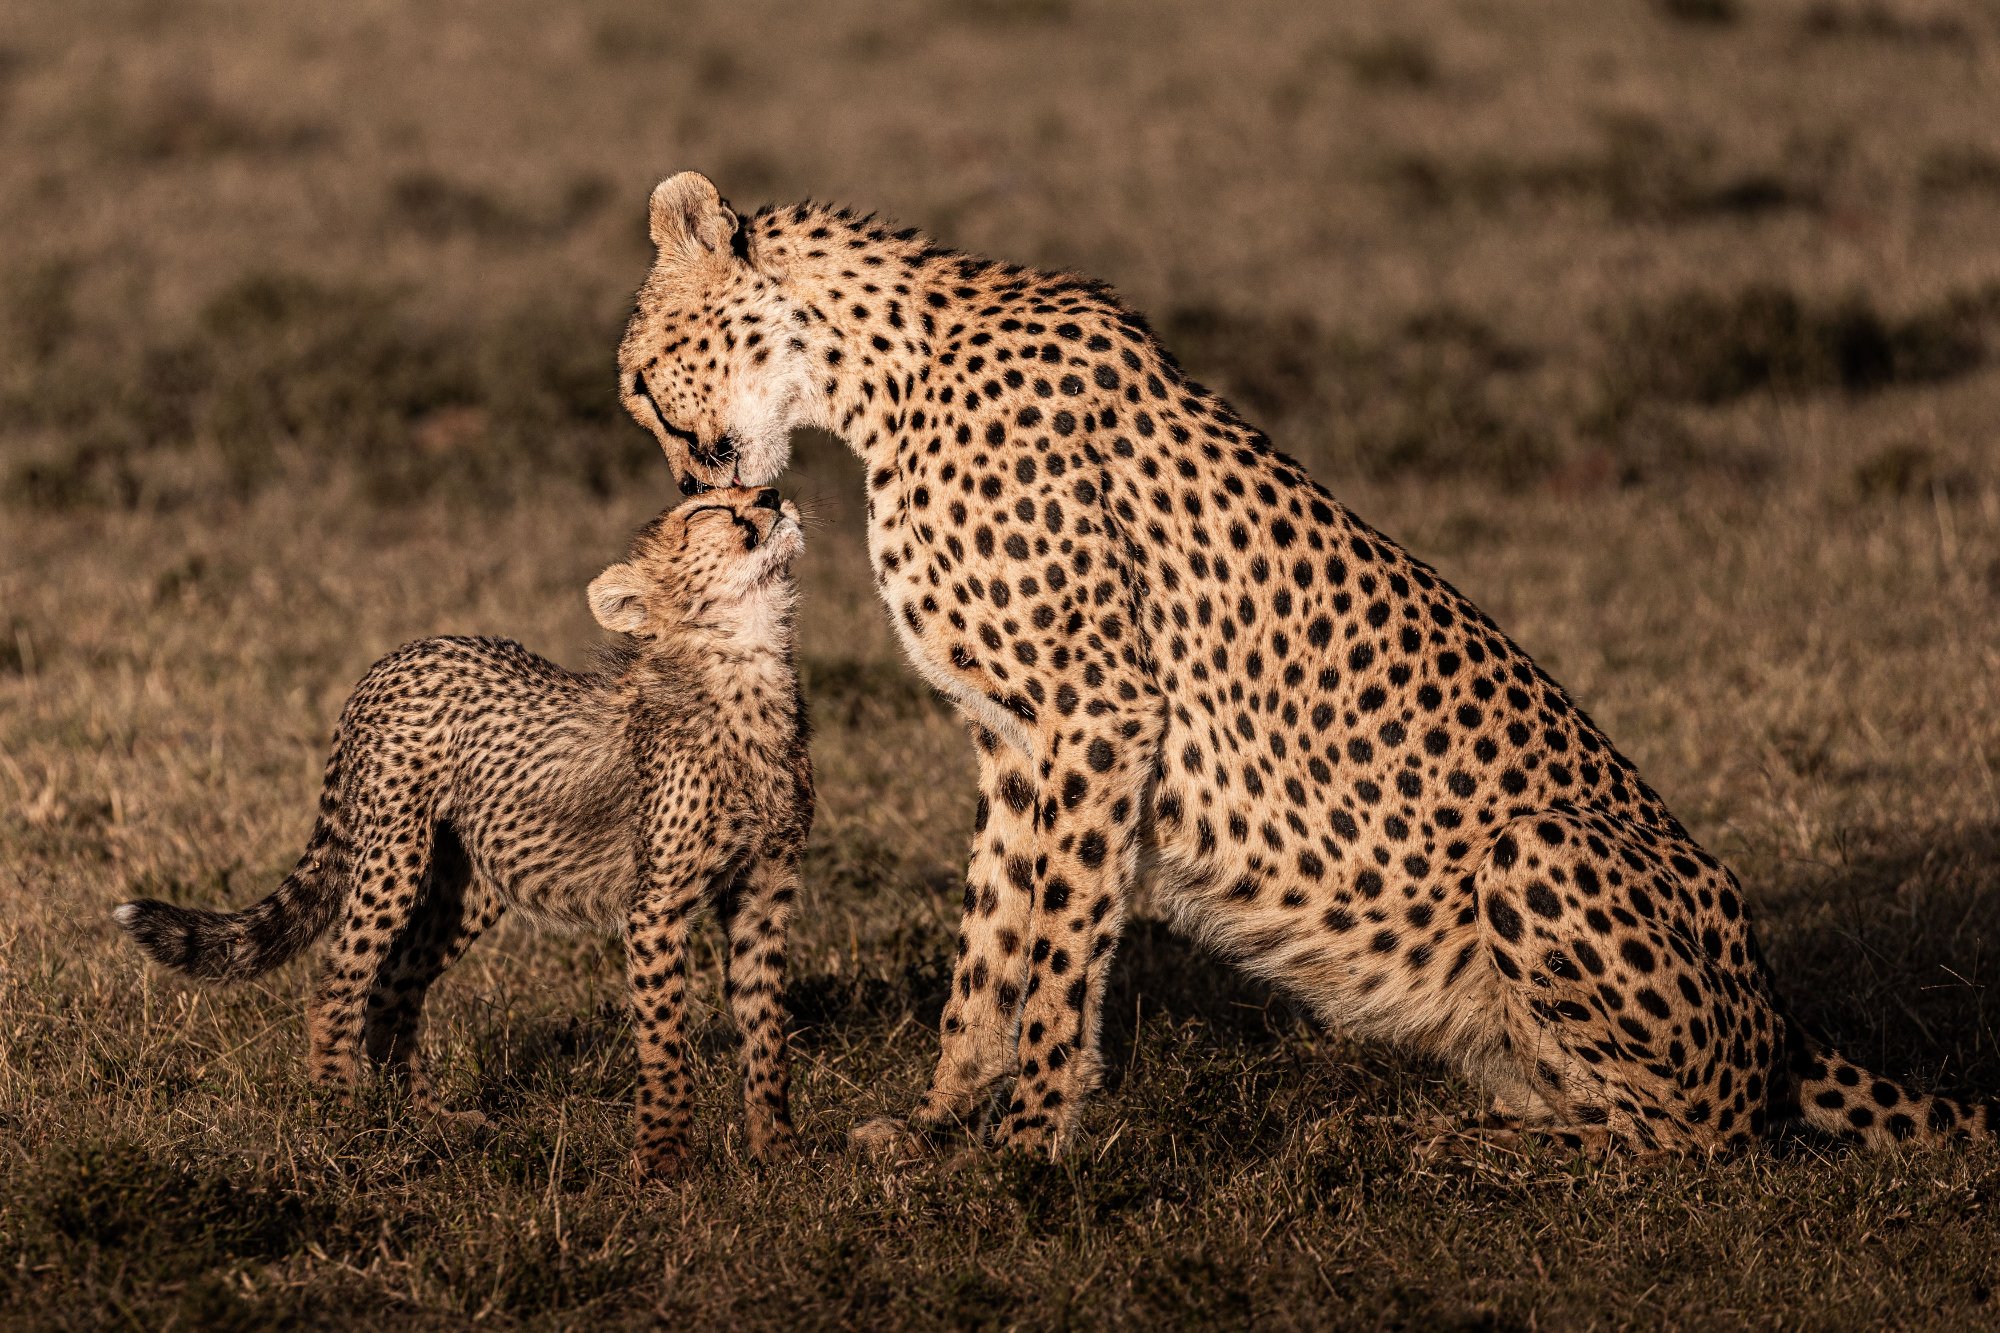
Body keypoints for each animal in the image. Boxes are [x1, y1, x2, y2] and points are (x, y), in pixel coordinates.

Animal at [115, 486, 813, 1180]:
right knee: (339, 983)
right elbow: (666, 1037)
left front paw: (779, 1152)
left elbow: (765, 1024)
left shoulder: (764, 892)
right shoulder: (658, 907)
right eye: (707, 511)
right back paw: (340, 1116)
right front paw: (662, 1159)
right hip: (394, 859)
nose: (773, 495)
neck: (745, 663)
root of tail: (399, 656)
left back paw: (426, 1121)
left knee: (391, 988)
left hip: (469, 885)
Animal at [616, 170, 1996, 1160]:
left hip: (1541, 850)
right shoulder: (1014, 737)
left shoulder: (1096, 711)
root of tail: (1776, 1014)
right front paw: (941, 1118)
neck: (869, 373)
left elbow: (1059, 946)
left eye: (634, 379)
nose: (689, 487)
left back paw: (1508, 1147)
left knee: (1700, 1136)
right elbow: (991, 938)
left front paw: (1024, 1153)